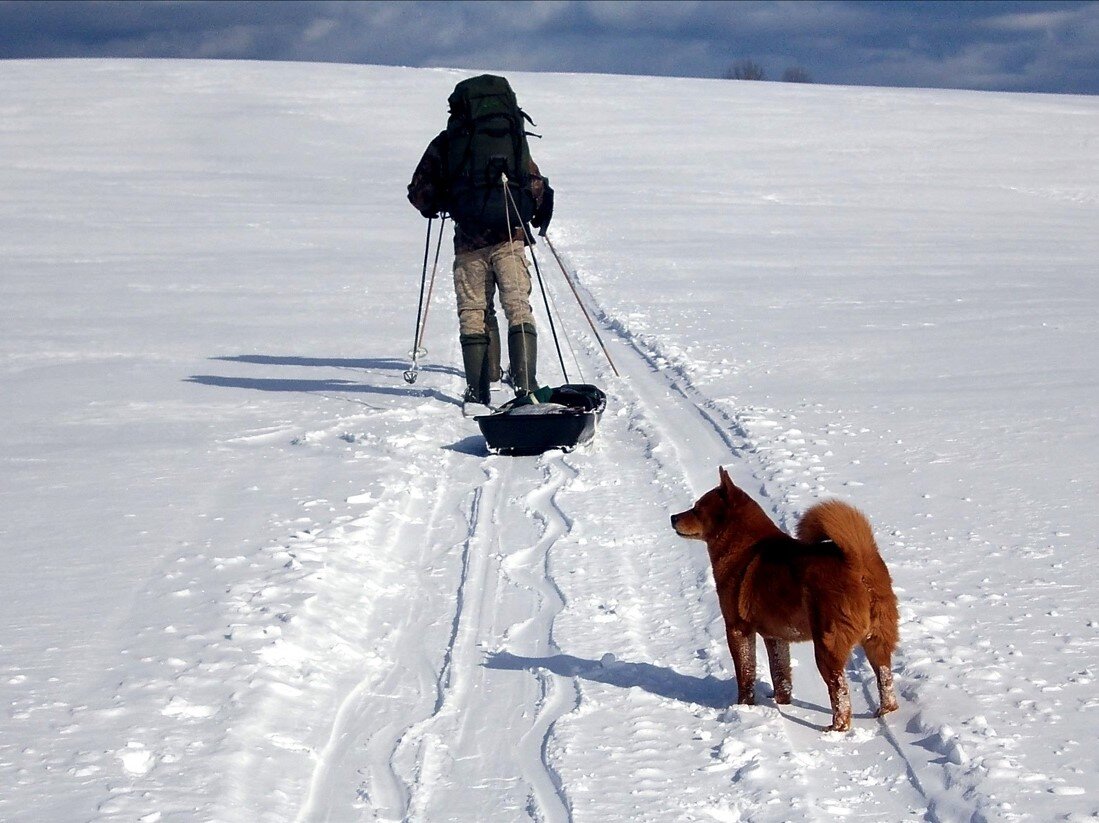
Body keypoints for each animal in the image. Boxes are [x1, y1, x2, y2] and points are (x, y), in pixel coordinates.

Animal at [672, 465, 896, 729]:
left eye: (697, 508)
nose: (673, 517)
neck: (742, 546)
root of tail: (858, 561)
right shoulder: (775, 637)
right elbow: (780, 674)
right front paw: (782, 703)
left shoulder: (738, 628)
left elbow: (745, 675)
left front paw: (744, 706)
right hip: (878, 640)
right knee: (885, 678)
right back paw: (885, 712)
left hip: (827, 644)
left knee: (840, 692)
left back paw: (835, 728)